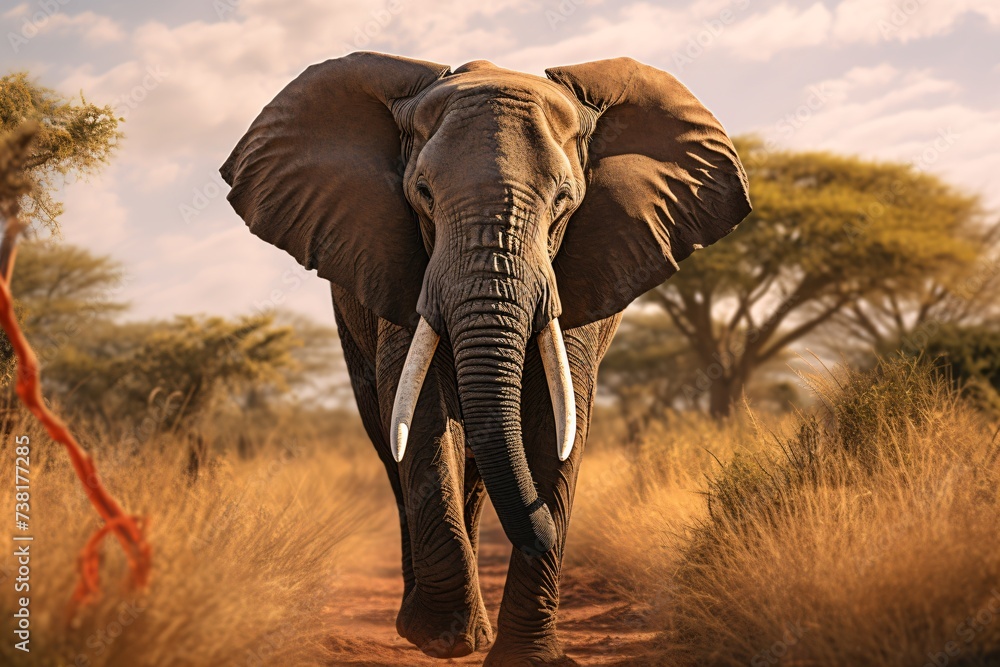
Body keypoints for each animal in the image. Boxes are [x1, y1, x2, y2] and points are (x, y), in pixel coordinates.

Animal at [221, 52, 750, 665]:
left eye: (565, 200)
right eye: (423, 193)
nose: (543, 532)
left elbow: (557, 417)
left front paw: (529, 656)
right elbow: (423, 410)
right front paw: (441, 640)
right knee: (390, 440)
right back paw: (434, 624)